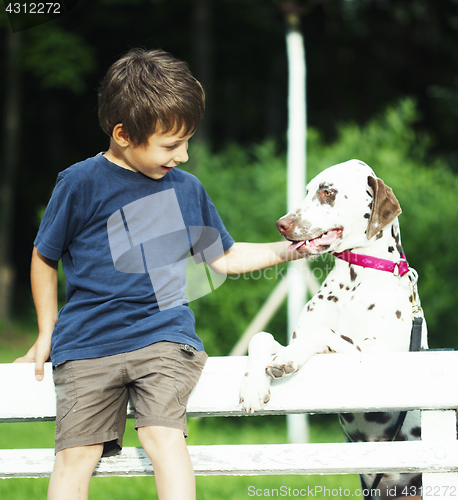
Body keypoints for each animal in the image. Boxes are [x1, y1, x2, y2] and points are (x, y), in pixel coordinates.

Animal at [242, 158, 428, 498]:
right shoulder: (293, 339)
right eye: (306, 191)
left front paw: (287, 360)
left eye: (328, 192)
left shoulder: (378, 353)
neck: (354, 279)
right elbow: (261, 337)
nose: (282, 224)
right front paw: (253, 387)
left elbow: (325, 334)